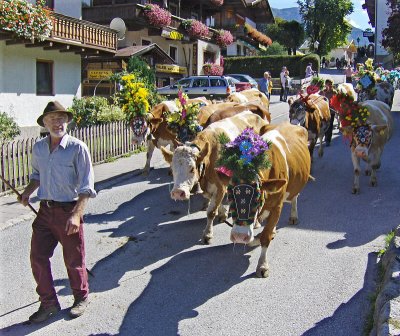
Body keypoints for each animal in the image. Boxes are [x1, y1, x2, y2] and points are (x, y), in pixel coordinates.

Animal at [161, 111, 270, 245]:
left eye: (192, 169)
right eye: (173, 169)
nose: (178, 192)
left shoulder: (220, 186)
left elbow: (211, 212)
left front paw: (207, 234)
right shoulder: (212, 188)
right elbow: (217, 204)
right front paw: (223, 214)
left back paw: (257, 222)